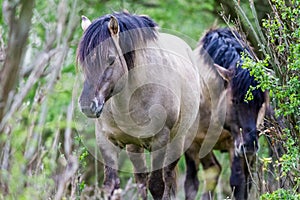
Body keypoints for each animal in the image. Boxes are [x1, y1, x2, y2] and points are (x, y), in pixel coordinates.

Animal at [77, 11, 202, 199]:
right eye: (83, 61)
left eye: (110, 59)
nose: (87, 105)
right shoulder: (106, 141)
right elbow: (111, 186)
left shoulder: (160, 140)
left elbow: (157, 186)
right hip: (134, 147)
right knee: (141, 179)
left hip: (177, 142)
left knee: (167, 179)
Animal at [184, 27, 268, 200]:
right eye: (234, 100)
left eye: (261, 103)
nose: (249, 145)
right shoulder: (191, 144)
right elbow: (191, 185)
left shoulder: (235, 145)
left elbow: (238, 183)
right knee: (212, 171)